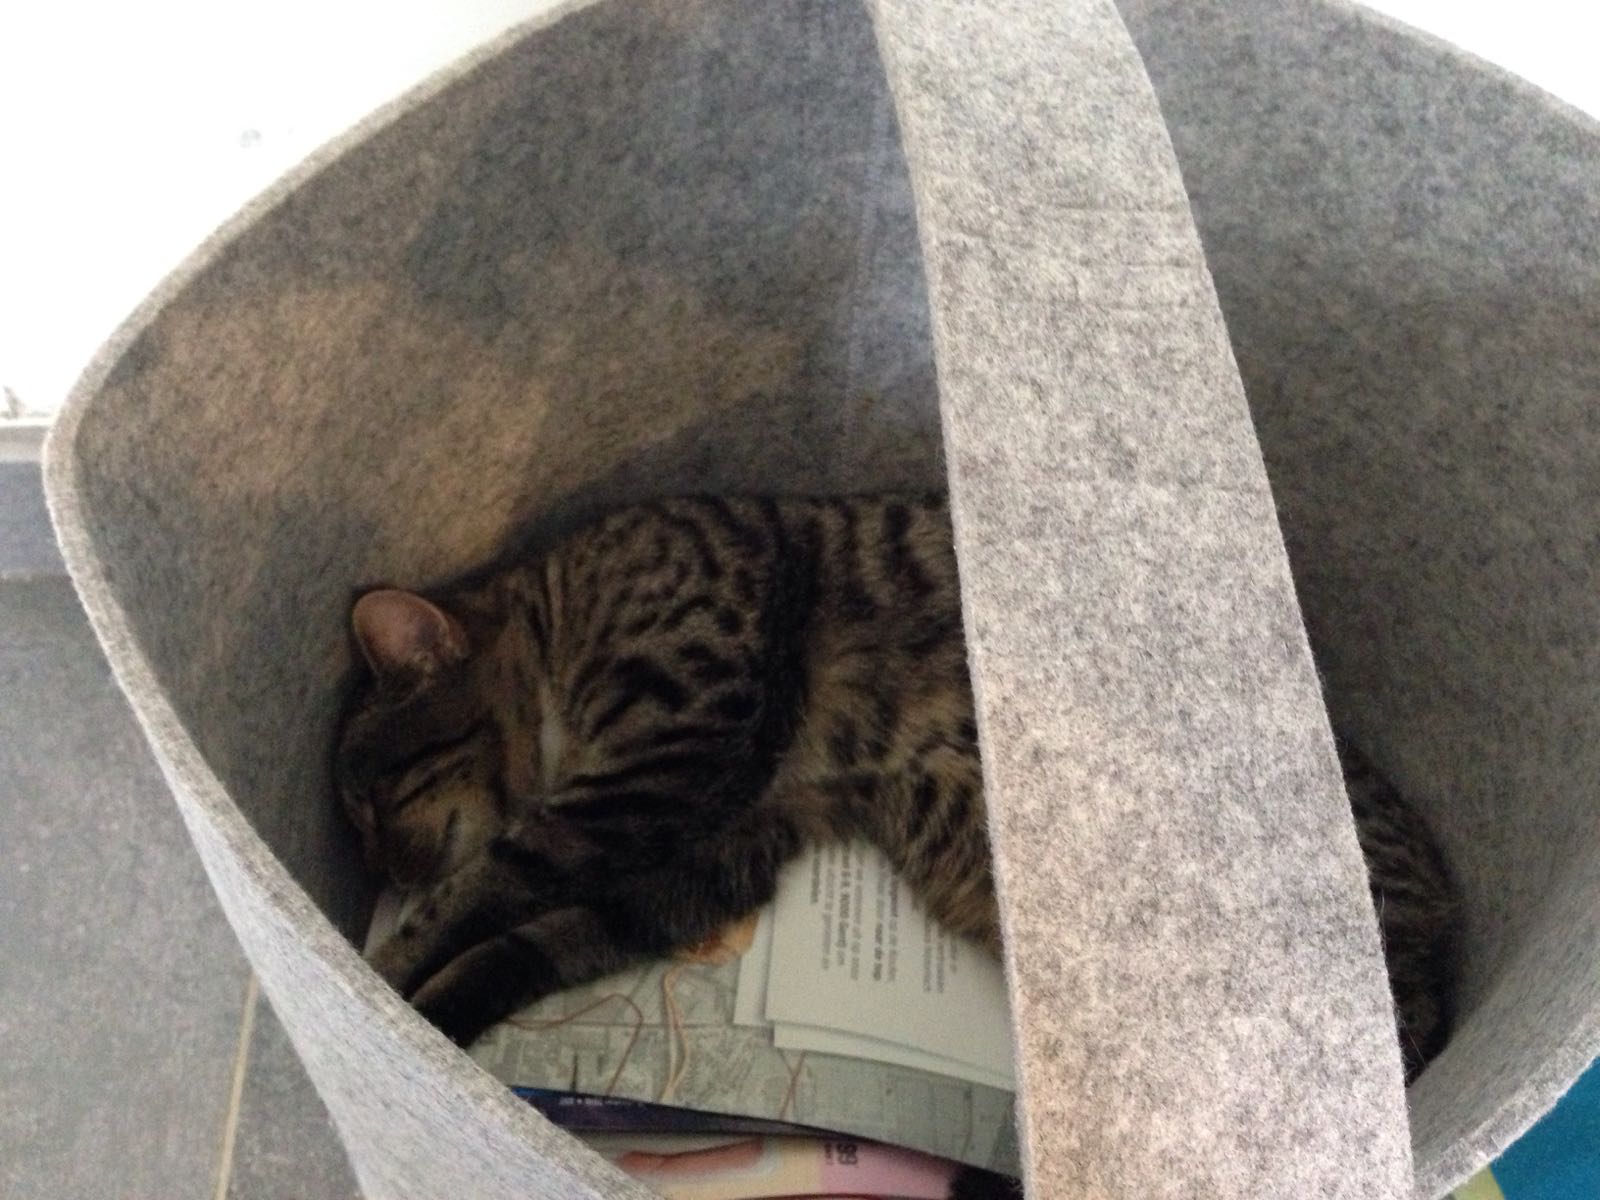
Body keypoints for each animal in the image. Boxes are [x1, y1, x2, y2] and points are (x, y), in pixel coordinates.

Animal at [335, 493, 1457, 1083]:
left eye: (374, 798)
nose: (379, 867)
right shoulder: (705, 860)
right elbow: (524, 947)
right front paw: (427, 1027)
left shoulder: (669, 760)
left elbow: (478, 891)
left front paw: (382, 970)